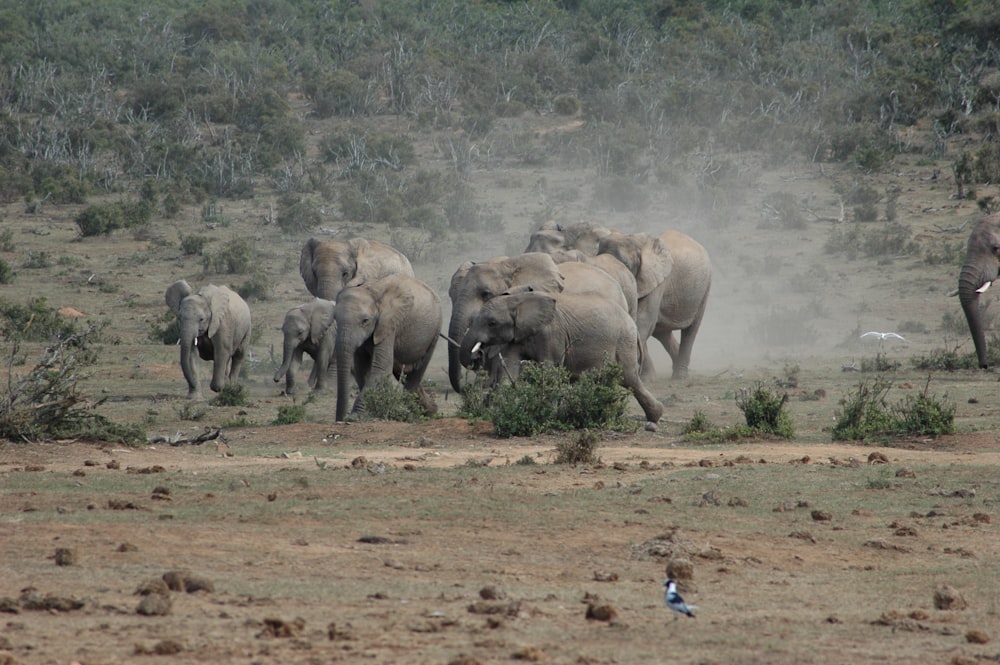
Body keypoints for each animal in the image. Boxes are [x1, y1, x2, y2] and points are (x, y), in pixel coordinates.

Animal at [334, 274, 440, 420]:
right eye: (335, 318)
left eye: (365, 321)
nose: (340, 419)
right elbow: (361, 369)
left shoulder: (388, 323)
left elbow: (381, 368)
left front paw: (354, 418)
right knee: (402, 371)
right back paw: (429, 410)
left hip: (435, 330)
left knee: (415, 373)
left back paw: (410, 412)